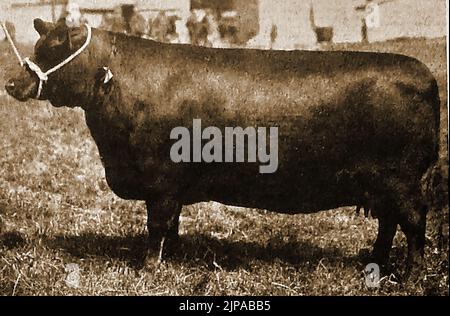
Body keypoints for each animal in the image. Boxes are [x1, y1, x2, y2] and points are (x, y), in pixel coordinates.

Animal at [4, 19, 440, 278]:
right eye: (39, 46)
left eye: (53, 49)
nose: (11, 83)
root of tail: (424, 75)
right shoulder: (171, 187)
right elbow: (172, 225)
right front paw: (173, 257)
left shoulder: (160, 180)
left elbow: (157, 225)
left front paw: (149, 267)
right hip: (382, 184)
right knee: (388, 223)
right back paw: (374, 263)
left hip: (401, 179)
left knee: (414, 220)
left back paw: (410, 274)